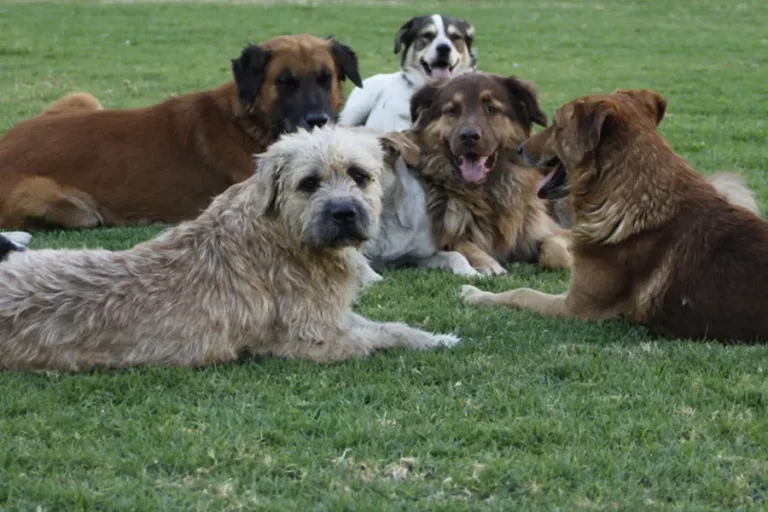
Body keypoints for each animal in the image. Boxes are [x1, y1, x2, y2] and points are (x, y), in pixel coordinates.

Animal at [0, 34, 364, 230]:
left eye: (325, 78)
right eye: (285, 82)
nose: (318, 120)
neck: (248, 123)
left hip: (83, 98)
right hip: (75, 209)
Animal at [0, 125, 460, 372]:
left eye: (360, 175)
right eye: (309, 183)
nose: (344, 212)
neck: (282, 231)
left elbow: (386, 325)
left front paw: (434, 336)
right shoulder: (311, 339)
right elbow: (379, 336)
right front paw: (430, 340)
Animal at [462, 88, 768, 344]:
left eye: (557, 126)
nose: (520, 149)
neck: (631, 193)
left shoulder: (575, 308)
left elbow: (522, 293)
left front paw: (477, 295)